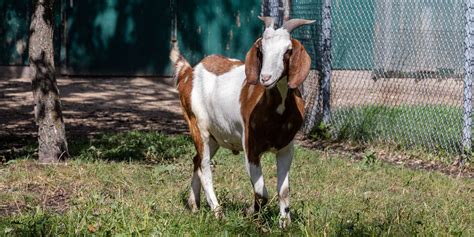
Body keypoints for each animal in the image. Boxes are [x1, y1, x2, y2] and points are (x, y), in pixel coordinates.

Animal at [170, 16, 314, 228]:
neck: (276, 111)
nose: (265, 78)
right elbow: (261, 192)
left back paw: (194, 205)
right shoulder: (250, 147)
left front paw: (285, 224)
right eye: (261, 50)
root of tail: (189, 73)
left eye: (287, 50)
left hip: (215, 136)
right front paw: (249, 214)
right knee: (204, 167)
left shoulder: (286, 148)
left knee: (196, 160)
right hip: (197, 125)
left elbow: (284, 191)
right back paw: (218, 212)